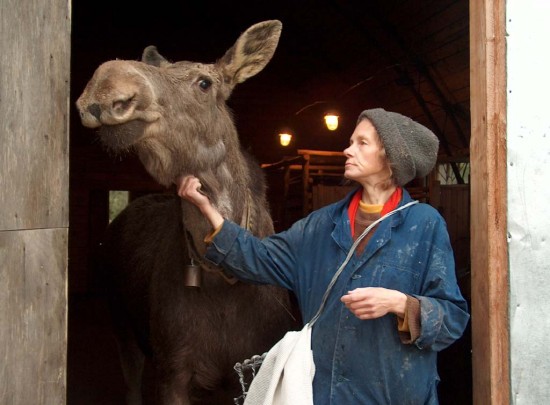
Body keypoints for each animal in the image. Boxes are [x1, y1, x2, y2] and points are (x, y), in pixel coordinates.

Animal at [75, 21, 300, 404]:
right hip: (122, 326)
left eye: (204, 83)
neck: (222, 280)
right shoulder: (172, 370)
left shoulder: (247, 369)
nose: (105, 87)